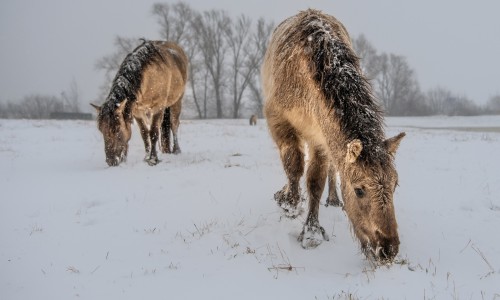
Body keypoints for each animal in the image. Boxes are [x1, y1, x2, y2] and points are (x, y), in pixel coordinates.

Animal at [262, 9, 406, 262]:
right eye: (359, 190)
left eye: (395, 184)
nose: (387, 249)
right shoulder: (279, 122)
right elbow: (293, 166)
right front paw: (290, 204)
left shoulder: (320, 137)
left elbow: (316, 181)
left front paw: (311, 231)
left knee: (331, 171)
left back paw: (333, 199)